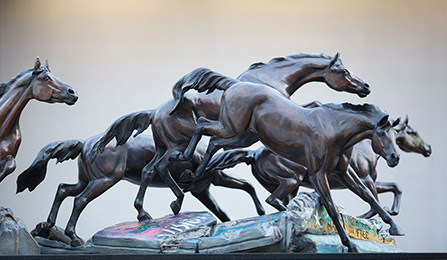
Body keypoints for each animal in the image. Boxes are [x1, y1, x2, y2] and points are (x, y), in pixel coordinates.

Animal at [15, 134, 264, 246]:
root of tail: (85, 143)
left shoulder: (202, 188)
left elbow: (225, 209)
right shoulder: (207, 184)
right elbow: (246, 186)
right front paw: (262, 211)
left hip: (87, 179)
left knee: (63, 190)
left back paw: (48, 226)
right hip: (105, 179)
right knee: (80, 200)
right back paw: (73, 237)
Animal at [90, 52, 372, 221]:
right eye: (344, 72)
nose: (366, 87)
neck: (271, 79)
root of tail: (154, 113)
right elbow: (313, 105)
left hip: (163, 146)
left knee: (150, 170)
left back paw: (149, 210)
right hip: (176, 144)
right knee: (163, 164)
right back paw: (175, 197)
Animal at [171, 79, 402, 252]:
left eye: (395, 135)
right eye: (382, 133)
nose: (395, 158)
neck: (335, 128)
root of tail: (233, 86)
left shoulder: (344, 172)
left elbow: (369, 196)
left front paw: (395, 227)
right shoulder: (319, 174)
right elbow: (332, 208)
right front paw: (350, 244)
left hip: (243, 136)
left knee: (214, 142)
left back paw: (191, 174)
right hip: (234, 130)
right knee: (202, 125)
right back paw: (182, 161)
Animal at [208, 114, 432, 217]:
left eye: (396, 136)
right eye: (412, 132)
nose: (428, 149)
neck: (364, 147)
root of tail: (254, 154)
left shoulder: (364, 180)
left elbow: (393, 187)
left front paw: (389, 212)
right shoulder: (366, 179)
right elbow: (375, 200)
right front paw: (372, 216)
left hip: (288, 186)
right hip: (292, 180)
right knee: (274, 200)